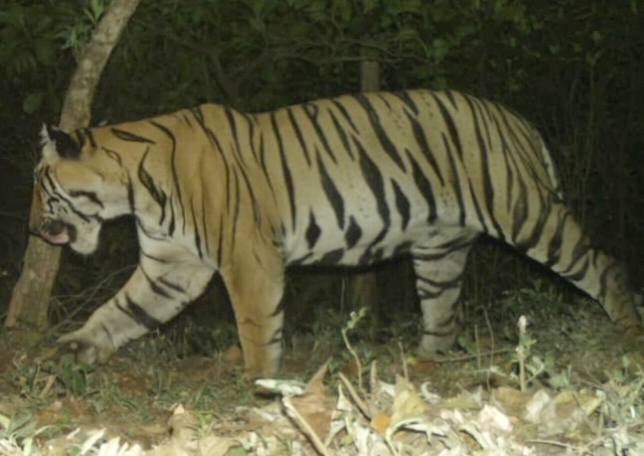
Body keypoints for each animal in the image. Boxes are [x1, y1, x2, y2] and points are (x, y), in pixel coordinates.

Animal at [29, 89, 641, 377]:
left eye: (41, 186)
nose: (34, 229)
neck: (133, 191)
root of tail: (516, 119)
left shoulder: (246, 257)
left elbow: (256, 325)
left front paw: (257, 381)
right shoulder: (171, 268)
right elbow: (118, 313)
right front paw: (71, 351)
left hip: (524, 213)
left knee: (604, 266)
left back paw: (628, 332)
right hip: (440, 250)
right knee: (443, 315)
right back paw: (422, 364)